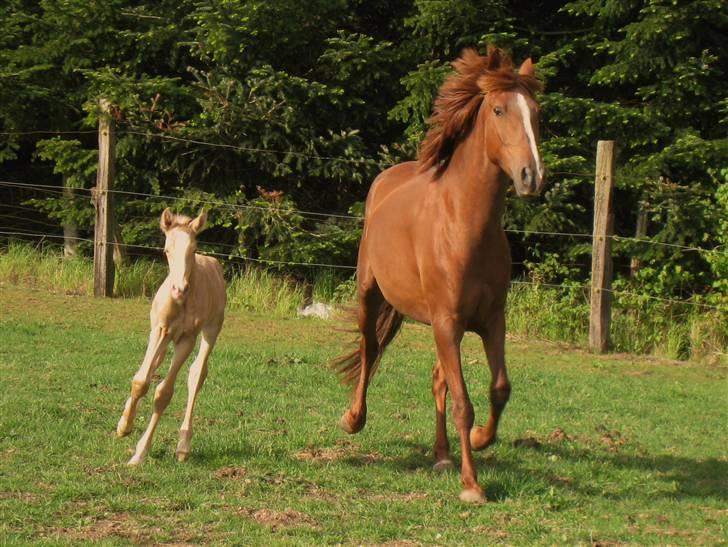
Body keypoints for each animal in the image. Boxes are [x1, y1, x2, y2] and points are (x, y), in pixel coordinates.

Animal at [116, 208, 228, 464]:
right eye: (166, 250)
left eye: (193, 249)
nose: (179, 289)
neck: (181, 303)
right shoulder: (159, 330)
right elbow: (140, 381)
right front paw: (124, 426)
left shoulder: (187, 338)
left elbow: (164, 393)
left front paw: (140, 453)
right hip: (163, 338)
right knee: (154, 365)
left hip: (212, 329)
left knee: (197, 374)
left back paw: (183, 446)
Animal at [332, 49, 544, 504]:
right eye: (499, 110)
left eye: (537, 113)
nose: (531, 176)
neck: (465, 225)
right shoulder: (447, 322)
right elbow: (464, 401)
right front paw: (472, 485)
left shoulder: (489, 321)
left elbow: (499, 389)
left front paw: (480, 439)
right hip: (371, 296)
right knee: (370, 349)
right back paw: (354, 419)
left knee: (436, 380)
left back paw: (443, 455)